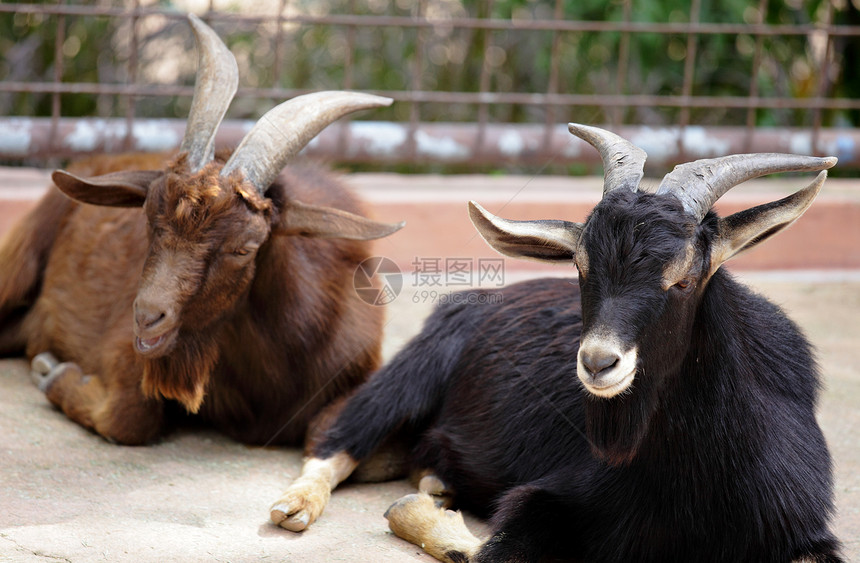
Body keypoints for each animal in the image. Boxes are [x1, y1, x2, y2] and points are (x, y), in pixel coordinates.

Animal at [0, 13, 402, 458]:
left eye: (245, 249)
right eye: (147, 220)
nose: (146, 318)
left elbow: (329, 432)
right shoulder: (127, 351)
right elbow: (129, 417)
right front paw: (53, 374)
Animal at [272, 124, 844, 563]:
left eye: (683, 279)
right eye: (581, 267)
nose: (598, 363)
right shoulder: (550, 497)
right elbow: (492, 551)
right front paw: (412, 512)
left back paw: (437, 481)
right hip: (410, 374)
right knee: (335, 439)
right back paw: (298, 506)